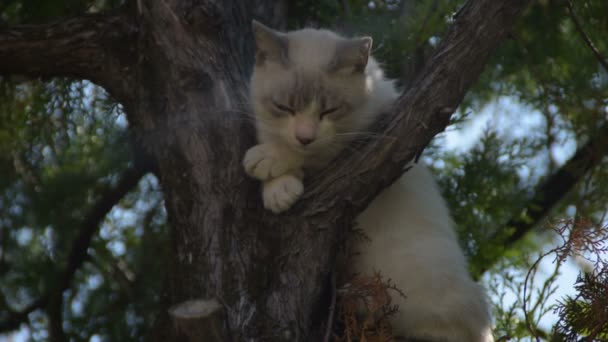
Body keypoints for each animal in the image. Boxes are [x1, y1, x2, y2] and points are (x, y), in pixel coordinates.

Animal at [242, 20, 494, 340]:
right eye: (284, 108)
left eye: (329, 111)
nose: (304, 137)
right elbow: (276, 145)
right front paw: (277, 189)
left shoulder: (366, 134)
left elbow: (304, 154)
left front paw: (266, 161)